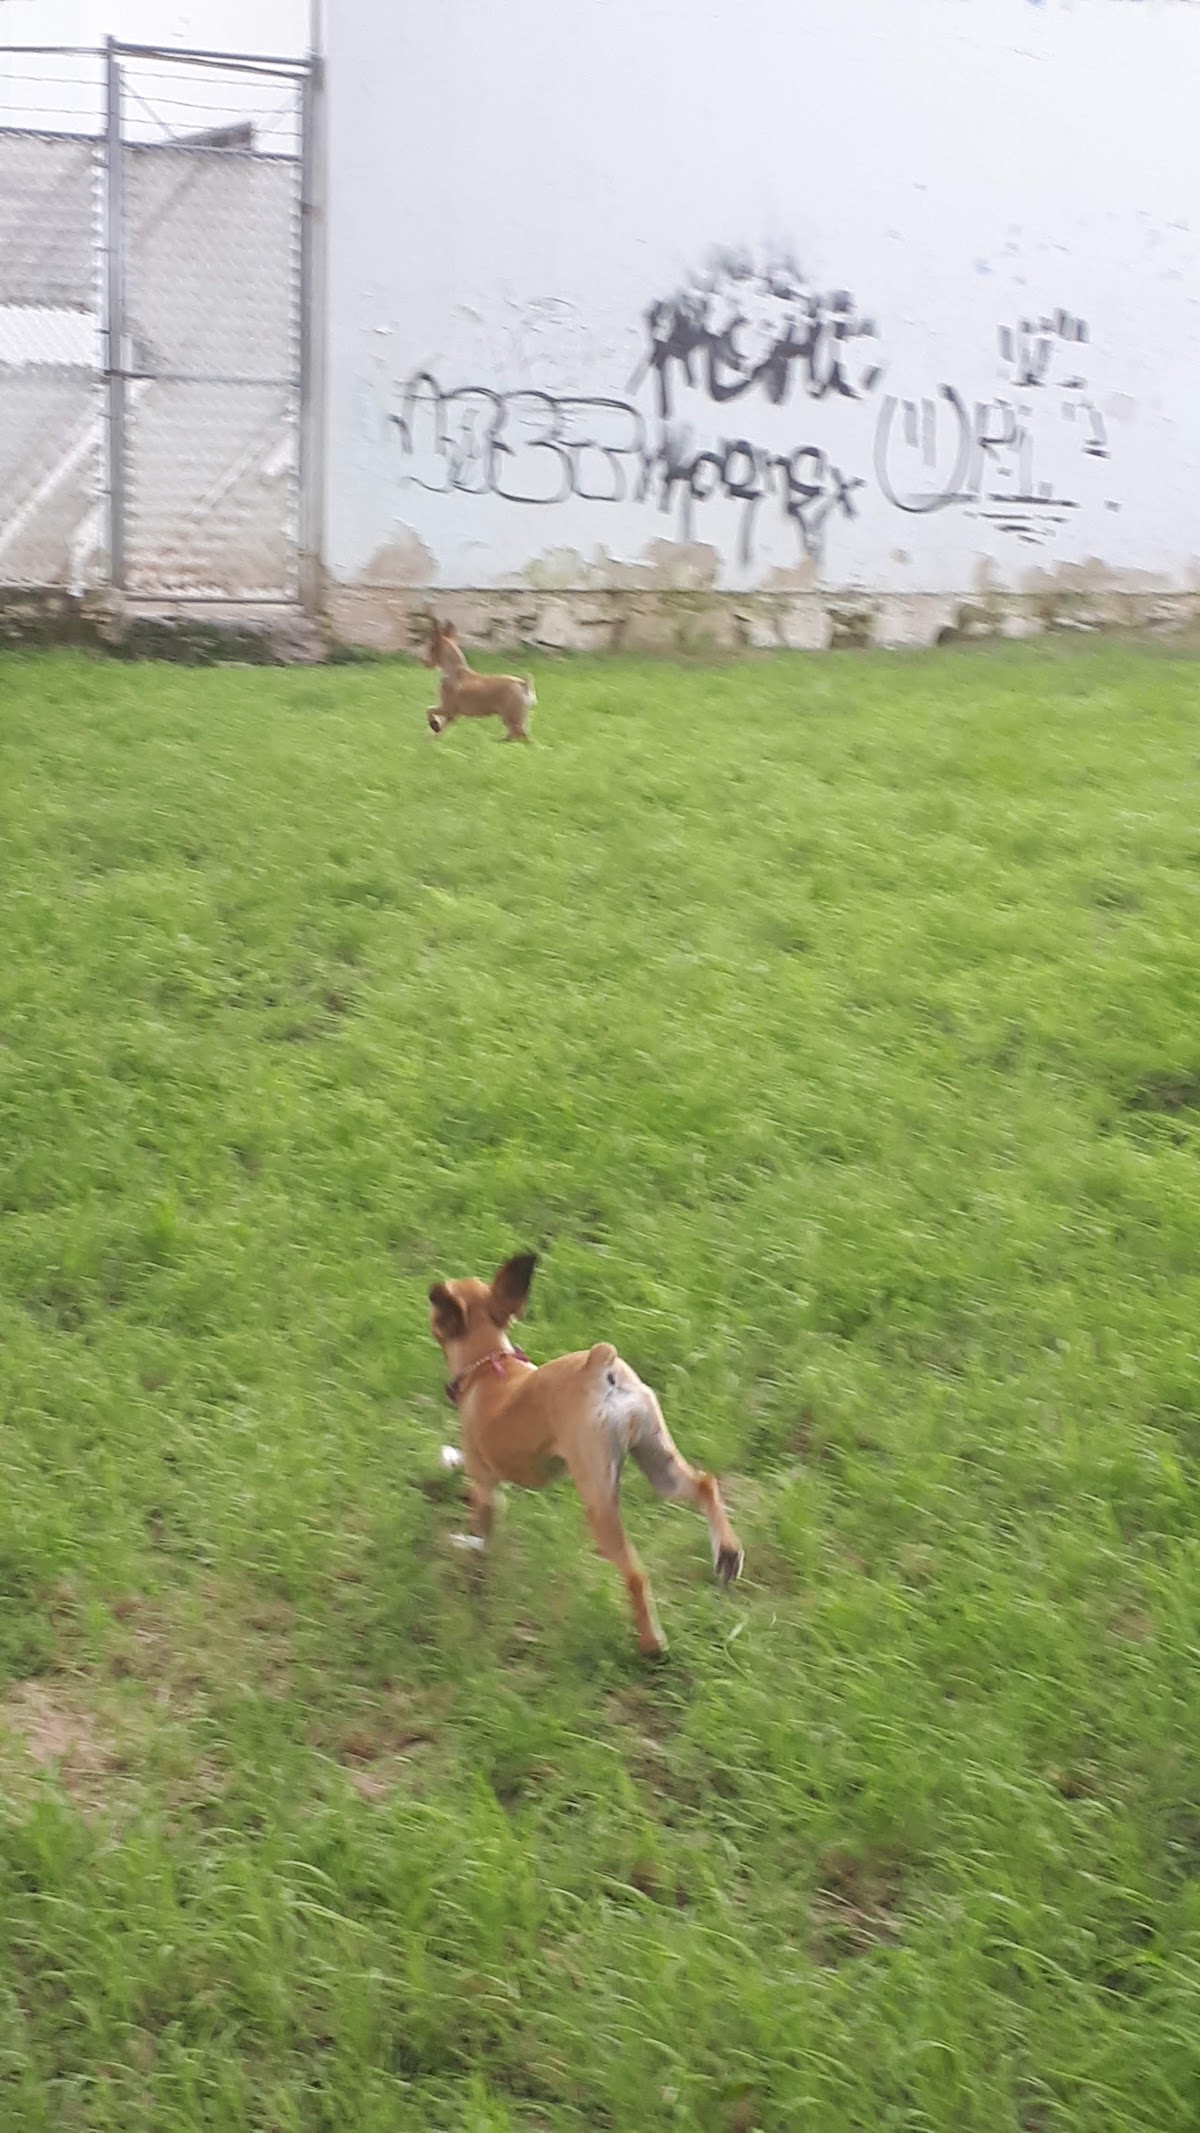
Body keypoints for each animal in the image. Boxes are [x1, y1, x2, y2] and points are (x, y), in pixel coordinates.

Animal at [428, 1252, 743, 1655]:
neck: (489, 1367)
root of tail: (600, 1364)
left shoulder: (485, 1484)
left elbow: (481, 1531)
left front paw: (470, 1552)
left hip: (599, 1497)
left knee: (635, 1574)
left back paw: (651, 1644)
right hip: (659, 1461)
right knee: (704, 1484)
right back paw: (727, 1553)